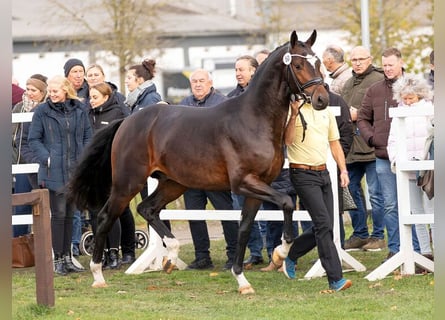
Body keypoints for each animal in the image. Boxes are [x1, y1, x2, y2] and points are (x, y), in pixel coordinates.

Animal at [67, 29, 328, 292]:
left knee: (147, 209)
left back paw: (171, 255)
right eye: (298, 65)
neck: (253, 119)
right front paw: (280, 252)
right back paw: (98, 274)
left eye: (319, 63)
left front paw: (242, 279)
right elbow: (286, 202)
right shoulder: (244, 183)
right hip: (128, 183)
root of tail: (127, 121)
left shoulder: (258, 186)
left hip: (173, 183)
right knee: (105, 217)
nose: (322, 99)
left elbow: (244, 228)